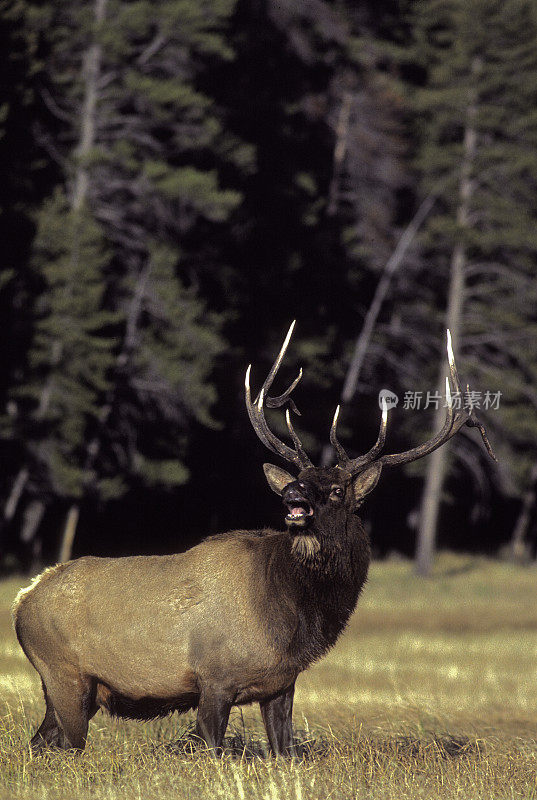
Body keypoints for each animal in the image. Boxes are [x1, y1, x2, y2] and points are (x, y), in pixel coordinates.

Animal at [12, 320, 492, 756]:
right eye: (300, 479)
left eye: (338, 490)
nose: (293, 495)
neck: (294, 617)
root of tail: (22, 599)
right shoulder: (214, 679)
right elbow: (212, 748)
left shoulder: (281, 685)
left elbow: (286, 751)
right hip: (65, 676)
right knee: (65, 747)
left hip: (73, 690)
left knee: (39, 743)